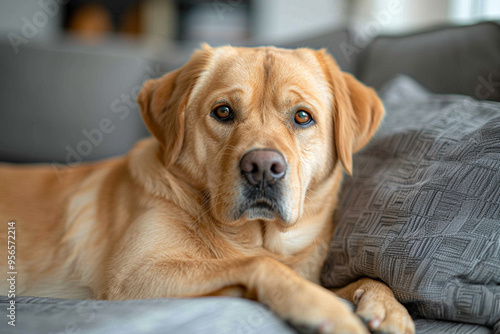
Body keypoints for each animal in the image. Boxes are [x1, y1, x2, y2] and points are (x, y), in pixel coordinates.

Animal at [0, 45, 414, 334]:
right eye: (223, 112)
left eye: (302, 116)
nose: (263, 167)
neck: (255, 237)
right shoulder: (132, 277)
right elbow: (259, 265)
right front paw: (321, 306)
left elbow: (367, 278)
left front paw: (387, 307)